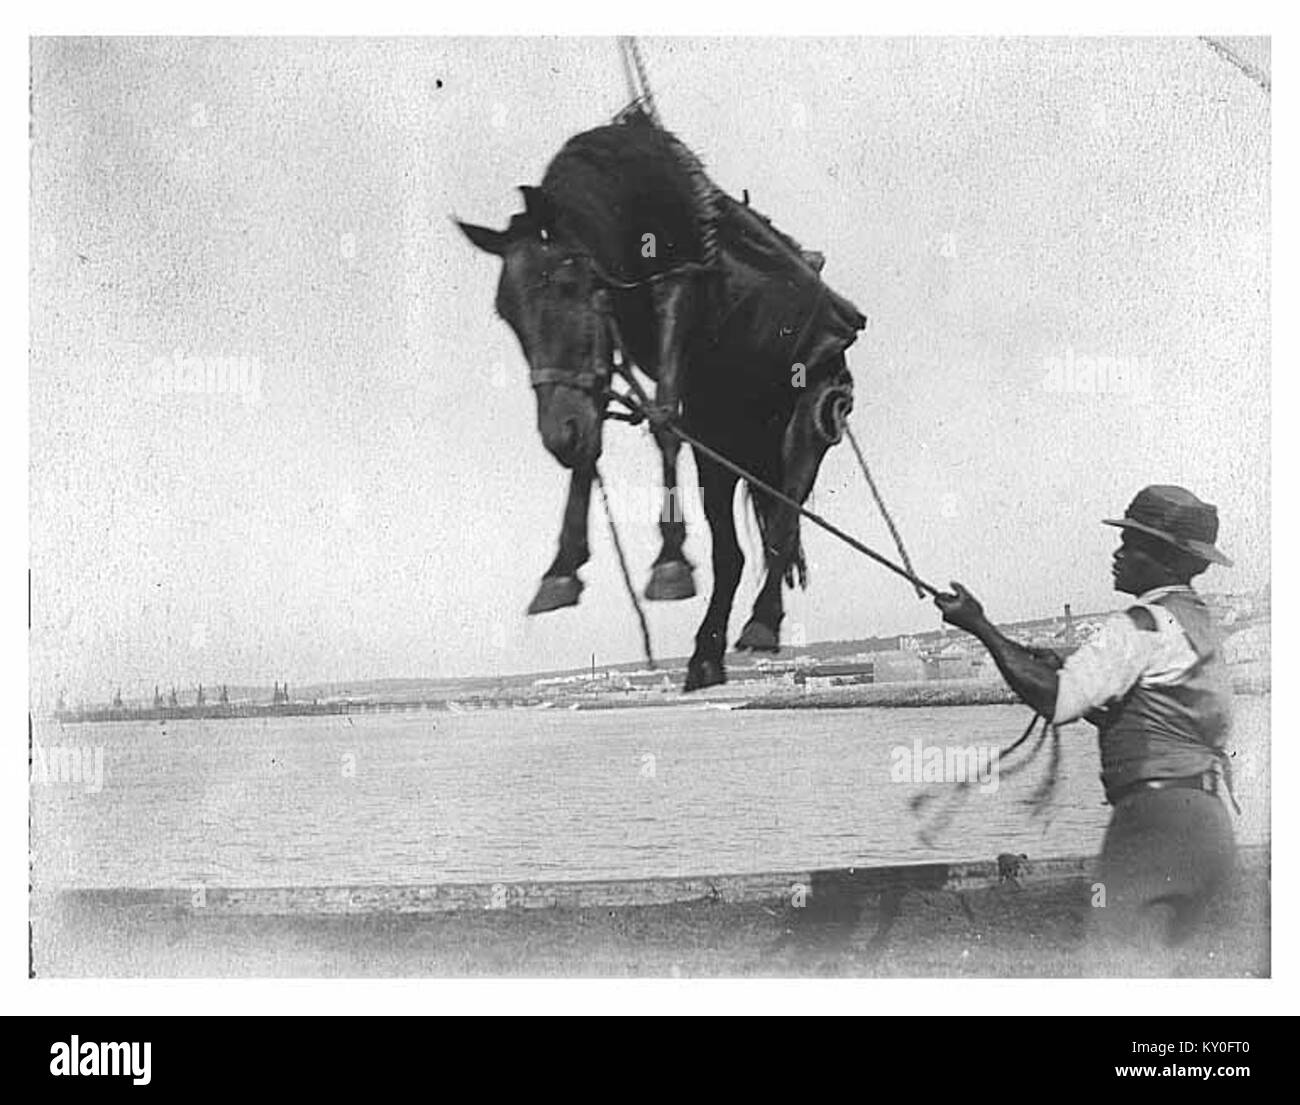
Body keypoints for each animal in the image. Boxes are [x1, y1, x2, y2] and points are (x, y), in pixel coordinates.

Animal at [457, 109, 863, 686]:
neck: (635, 198)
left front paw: (669, 562)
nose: (556, 435)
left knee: (784, 520)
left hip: (809, 413)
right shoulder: (604, 358)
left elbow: (665, 417)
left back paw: (761, 622)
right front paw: (563, 571)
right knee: (732, 553)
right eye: (506, 311)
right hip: (721, 441)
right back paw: (707, 654)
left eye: (569, 286)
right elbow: (594, 438)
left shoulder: (680, 286)